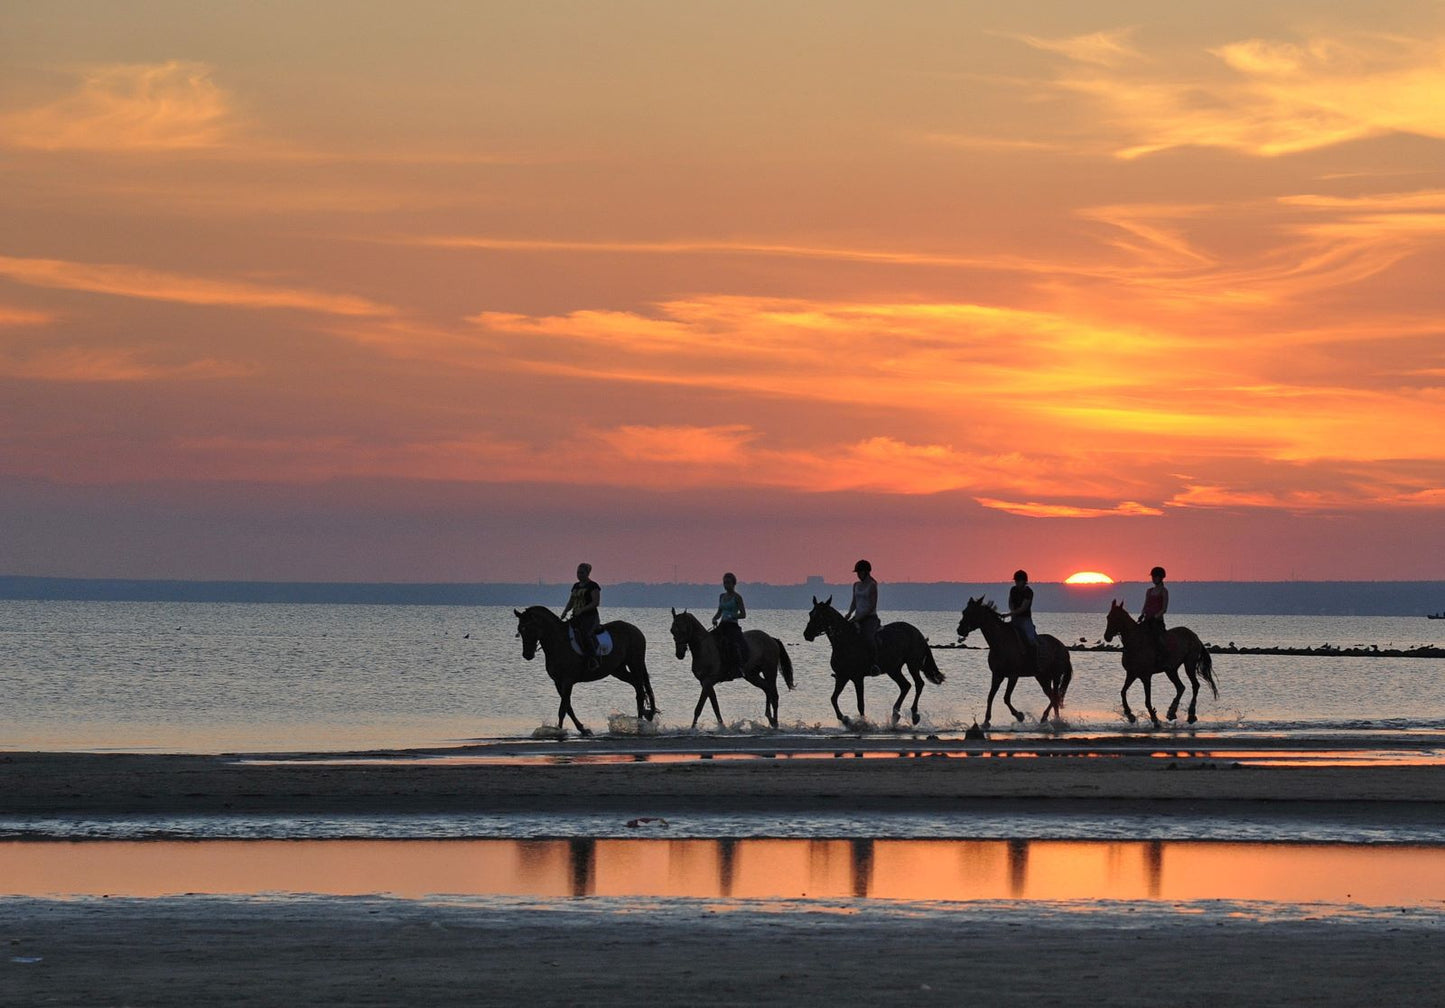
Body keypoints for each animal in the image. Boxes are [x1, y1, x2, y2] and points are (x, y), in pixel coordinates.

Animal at [514, 600, 656, 733]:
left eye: (530, 628)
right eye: (520, 629)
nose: (527, 655)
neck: (558, 642)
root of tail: (636, 630)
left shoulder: (567, 681)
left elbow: (562, 709)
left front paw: (560, 730)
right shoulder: (558, 682)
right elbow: (568, 707)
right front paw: (581, 729)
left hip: (635, 663)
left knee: (640, 690)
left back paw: (640, 724)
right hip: (618, 670)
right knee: (637, 686)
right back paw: (643, 718)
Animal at [797, 592, 942, 724]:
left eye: (821, 615)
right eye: (810, 614)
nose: (807, 634)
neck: (845, 641)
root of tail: (918, 633)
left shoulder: (857, 678)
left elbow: (860, 704)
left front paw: (862, 723)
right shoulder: (842, 676)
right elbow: (833, 698)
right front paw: (845, 719)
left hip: (912, 664)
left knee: (919, 684)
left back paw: (914, 714)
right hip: (893, 669)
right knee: (905, 686)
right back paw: (895, 715)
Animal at [959, 592, 1075, 724]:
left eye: (972, 613)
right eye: (964, 612)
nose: (960, 630)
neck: (1000, 642)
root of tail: (1064, 648)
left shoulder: (1013, 676)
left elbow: (1006, 698)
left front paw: (1019, 715)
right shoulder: (997, 675)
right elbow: (990, 696)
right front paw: (986, 721)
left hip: (1055, 676)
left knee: (1055, 697)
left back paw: (1048, 717)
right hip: (1042, 677)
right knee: (1052, 697)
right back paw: (1053, 719)